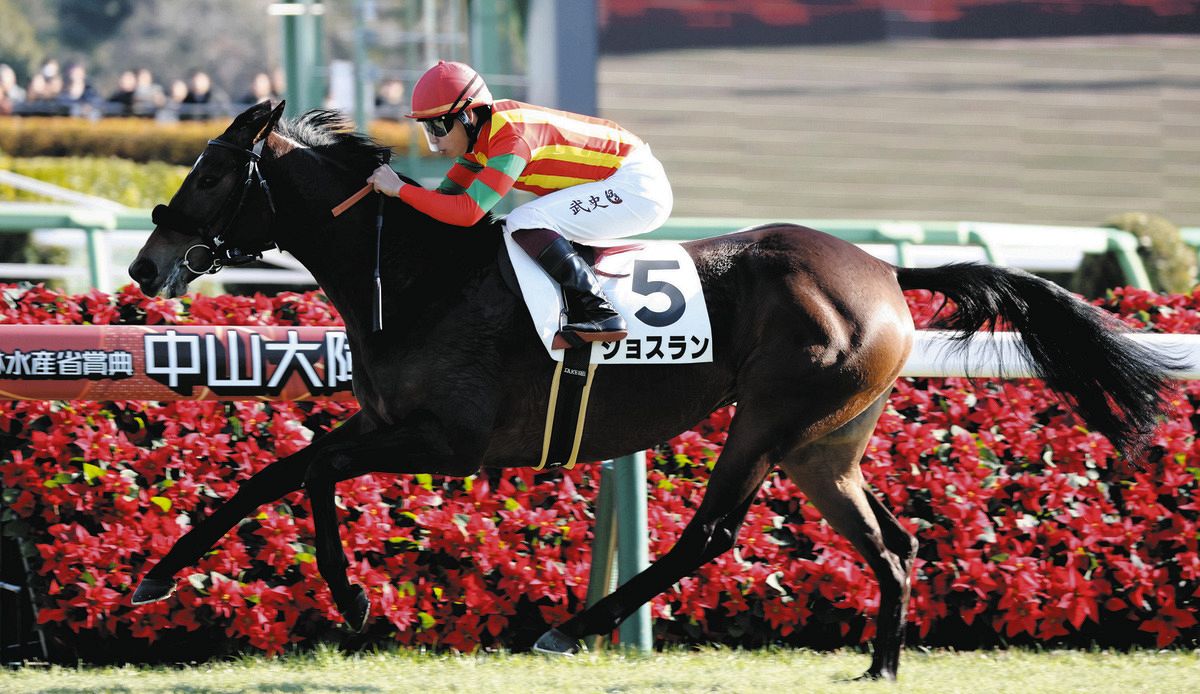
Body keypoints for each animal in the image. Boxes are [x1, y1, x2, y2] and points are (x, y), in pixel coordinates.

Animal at [127, 101, 1175, 680]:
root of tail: (882, 268)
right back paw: (880, 663)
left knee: (709, 533)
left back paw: (570, 628)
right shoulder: (383, 424)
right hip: (824, 443)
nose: (143, 265)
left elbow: (293, 474)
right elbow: (285, 474)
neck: (417, 275)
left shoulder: (445, 442)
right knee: (892, 540)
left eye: (211, 171)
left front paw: (321, 596)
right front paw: (208, 582)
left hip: (769, 416)